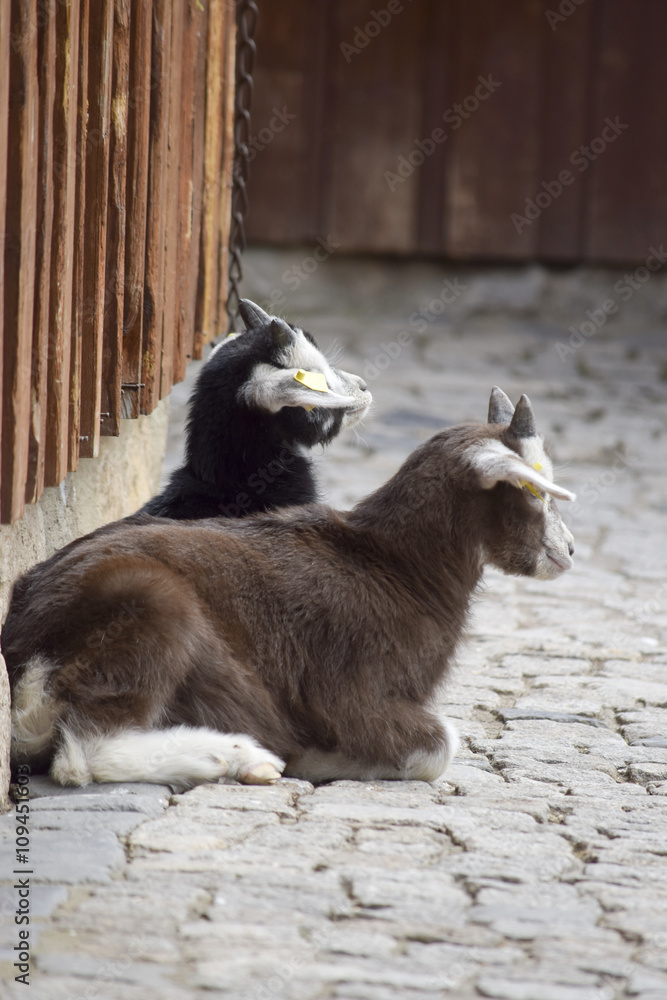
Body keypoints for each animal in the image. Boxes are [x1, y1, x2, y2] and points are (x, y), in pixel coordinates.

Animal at [3, 388, 575, 789]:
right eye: (530, 489)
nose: (569, 551)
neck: (396, 565)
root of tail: (25, 648)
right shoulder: (349, 693)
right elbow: (441, 744)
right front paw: (332, 759)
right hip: (148, 609)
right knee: (85, 752)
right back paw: (240, 756)